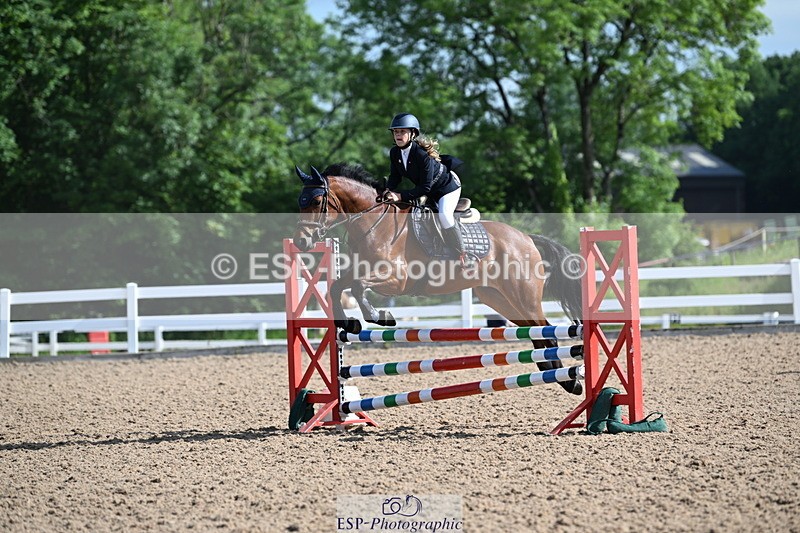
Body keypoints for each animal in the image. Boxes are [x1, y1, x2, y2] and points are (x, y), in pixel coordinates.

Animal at [293, 163, 583, 395]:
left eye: (316, 202)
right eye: (300, 201)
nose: (300, 242)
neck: (375, 224)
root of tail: (526, 239)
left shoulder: (396, 279)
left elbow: (358, 286)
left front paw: (381, 316)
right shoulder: (362, 271)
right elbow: (337, 287)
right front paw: (347, 323)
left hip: (524, 298)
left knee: (547, 332)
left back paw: (571, 382)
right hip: (501, 300)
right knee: (537, 335)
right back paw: (554, 373)